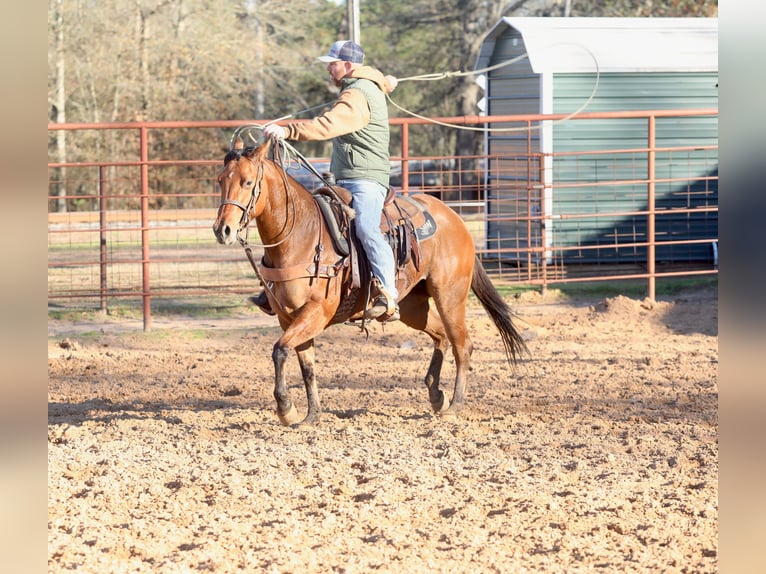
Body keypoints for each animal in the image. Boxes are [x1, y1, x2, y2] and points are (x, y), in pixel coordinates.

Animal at [216, 138, 528, 428]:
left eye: (247, 182)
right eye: (220, 180)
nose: (223, 230)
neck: (302, 235)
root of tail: (455, 218)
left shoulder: (316, 313)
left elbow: (280, 350)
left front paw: (286, 409)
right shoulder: (289, 317)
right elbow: (307, 366)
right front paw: (311, 415)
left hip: (449, 296)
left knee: (462, 344)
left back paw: (454, 407)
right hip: (413, 307)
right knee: (440, 336)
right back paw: (436, 395)